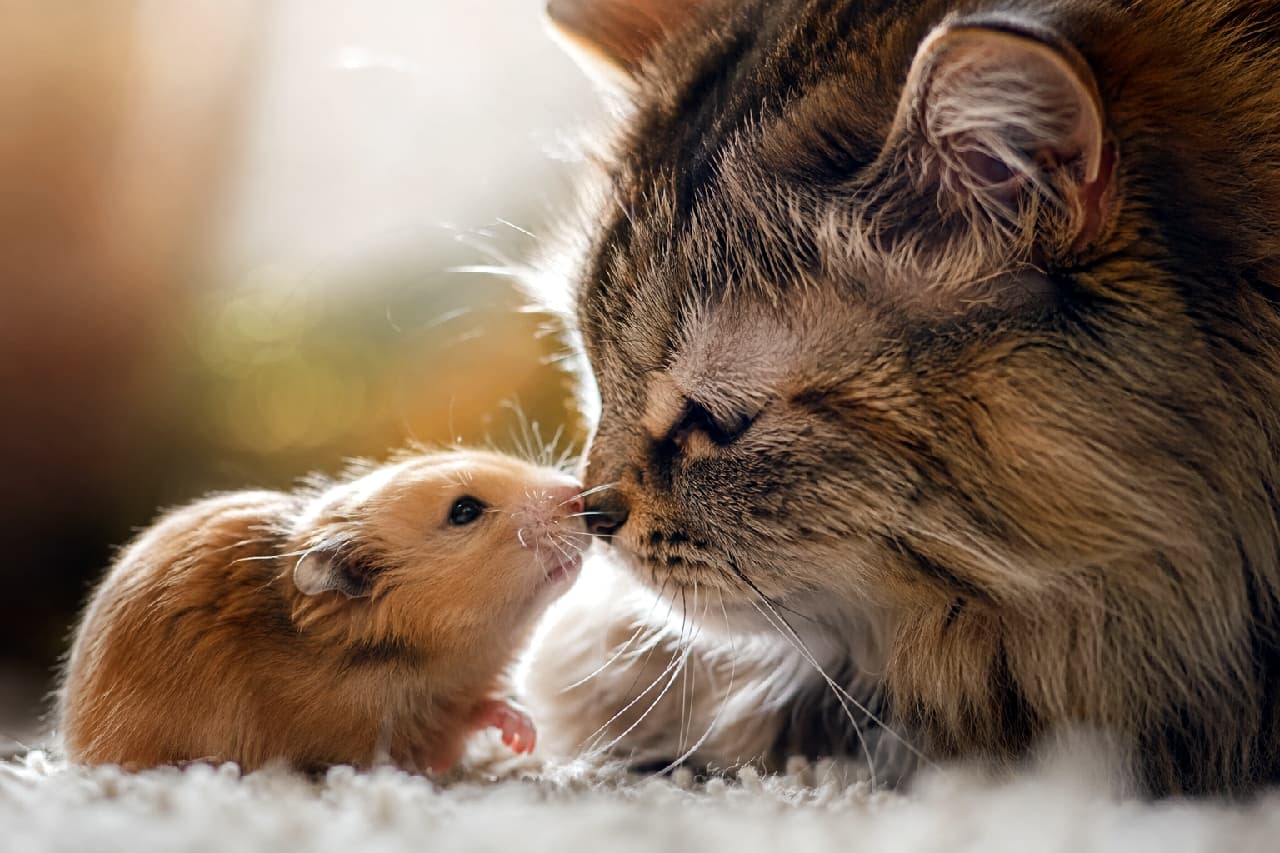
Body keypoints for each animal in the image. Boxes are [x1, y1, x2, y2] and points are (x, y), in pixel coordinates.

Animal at [56, 449, 587, 774]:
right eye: (464, 511)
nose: (579, 495)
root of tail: (76, 746)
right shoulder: (381, 734)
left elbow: (480, 709)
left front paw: (523, 736)